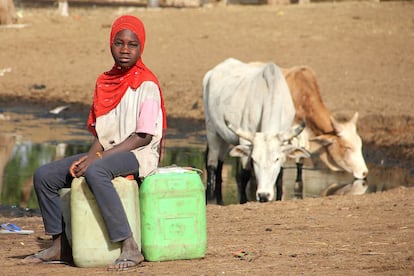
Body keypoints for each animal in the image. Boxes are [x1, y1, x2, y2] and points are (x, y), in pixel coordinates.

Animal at [202, 58, 308, 204]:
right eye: (254, 159)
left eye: (276, 159)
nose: (263, 195)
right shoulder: (244, 140)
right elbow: (245, 174)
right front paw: (243, 200)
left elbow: (280, 176)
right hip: (211, 129)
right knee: (212, 164)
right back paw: (211, 196)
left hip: (223, 136)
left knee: (220, 162)